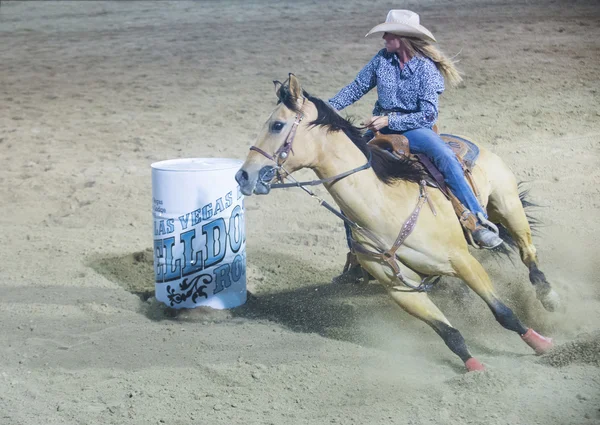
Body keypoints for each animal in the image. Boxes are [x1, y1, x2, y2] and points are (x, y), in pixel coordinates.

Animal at [236, 74, 556, 370]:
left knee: (528, 252)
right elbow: (449, 333)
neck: (384, 207)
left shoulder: (463, 261)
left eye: (277, 125)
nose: (243, 176)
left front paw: (542, 345)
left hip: (508, 205)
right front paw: (474, 367)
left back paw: (548, 295)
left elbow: (503, 312)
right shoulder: (399, 288)